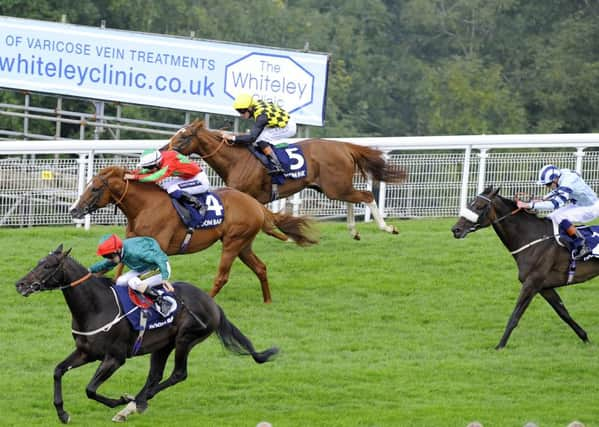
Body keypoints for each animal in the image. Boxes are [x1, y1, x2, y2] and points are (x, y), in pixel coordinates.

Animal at [15, 246, 278, 422]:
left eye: (47, 266)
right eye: (38, 262)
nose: (20, 284)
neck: (96, 306)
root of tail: (212, 303)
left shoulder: (115, 358)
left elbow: (90, 389)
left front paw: (119, 401)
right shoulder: (85, 352)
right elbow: (58, 371)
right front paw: (62, 412)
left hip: (185, 339)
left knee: (178, 374)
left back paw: (134, 404)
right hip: (162, 345)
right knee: (155, 376)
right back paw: (134, 404)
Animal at [69, 166, 318, 302]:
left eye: (95, 188)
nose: (74, 210)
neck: (144, 207)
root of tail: (256, 204)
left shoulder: (158, 248)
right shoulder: (130, 245)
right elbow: (118, 269)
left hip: (233, 243)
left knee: (222, 276)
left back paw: (209, 299)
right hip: (243, 245)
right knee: (260, 268)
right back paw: (267, 301)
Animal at [164, 120, 408, 241]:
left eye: (184, 136)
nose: (164, 149)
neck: (236, 160)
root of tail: (343, 146)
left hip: (335, 186)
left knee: (365, 196)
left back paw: (387, 227)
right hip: (333, 187)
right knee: (352, 199)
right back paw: (353, 230)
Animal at [450, 189, 599, 350]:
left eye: (479, 206)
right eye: (470, 203)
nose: (455, 229)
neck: (532, 238)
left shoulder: (531, 283)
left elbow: (515, 316)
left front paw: (500, 346)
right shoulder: (544, 287)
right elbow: (563, 312)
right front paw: (585, 338)